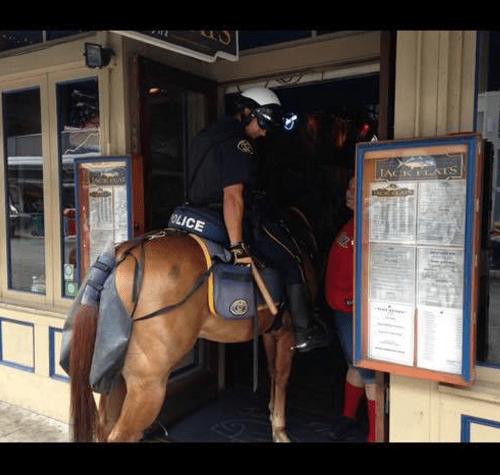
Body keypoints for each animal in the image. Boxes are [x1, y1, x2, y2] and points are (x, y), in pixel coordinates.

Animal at [67, 215, 316, 442]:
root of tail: (120, 255)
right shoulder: (287, 332)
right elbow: (282, 376)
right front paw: (279, 431)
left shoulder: (272, 331)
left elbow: (273, 372)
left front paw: (272, 412)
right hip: (148, 384)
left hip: (115, 370)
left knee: (105, 425)